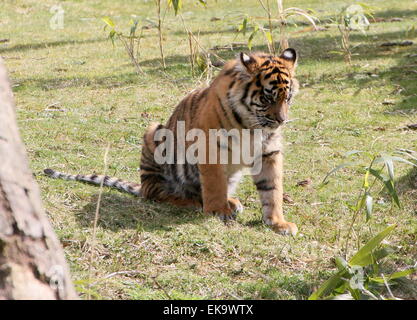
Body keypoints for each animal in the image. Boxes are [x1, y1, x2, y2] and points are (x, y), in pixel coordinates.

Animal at [44, 48, 300, 236]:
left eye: (287, 98)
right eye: (267, 97)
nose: (282, 120)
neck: (252, 125)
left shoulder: (269, 153)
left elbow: (272, 191)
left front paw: (278, 223)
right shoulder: (211, 149)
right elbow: (214, 185)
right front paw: (218, 211)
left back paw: (231, 201)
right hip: (154, 134)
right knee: (156, 192)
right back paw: (194, 201)